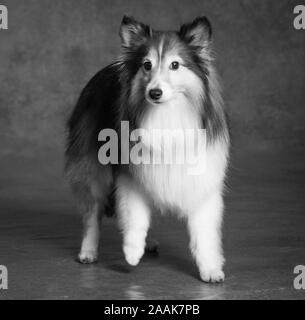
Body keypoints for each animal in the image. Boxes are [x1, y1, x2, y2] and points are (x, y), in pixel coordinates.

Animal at [65, 15, 229, 282]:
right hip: (93, 169)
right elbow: (134, 216)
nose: (155, 92)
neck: (167, 114)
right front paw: (132, 253)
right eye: (146, 65)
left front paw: (211, 270)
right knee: (92, 214)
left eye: (175, 65)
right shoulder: (130, 174)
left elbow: (204, 234)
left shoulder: (201, 181)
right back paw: (88, 252)